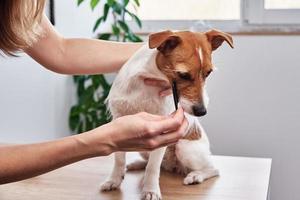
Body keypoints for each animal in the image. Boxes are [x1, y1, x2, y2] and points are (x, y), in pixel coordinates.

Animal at [99, 28, 233, 199]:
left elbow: (152, 168)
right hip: (144, 150)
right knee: (155, 163)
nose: (202, 111)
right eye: (183, 75)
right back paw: (137, 164)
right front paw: (114, 180)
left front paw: (150, 190)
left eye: (208, 73)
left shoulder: (161, 131)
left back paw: (196, 176)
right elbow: (119, 159)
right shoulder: (119, 119)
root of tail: (172, 166)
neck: (147, 81)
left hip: (184, 148)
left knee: (213, 169)